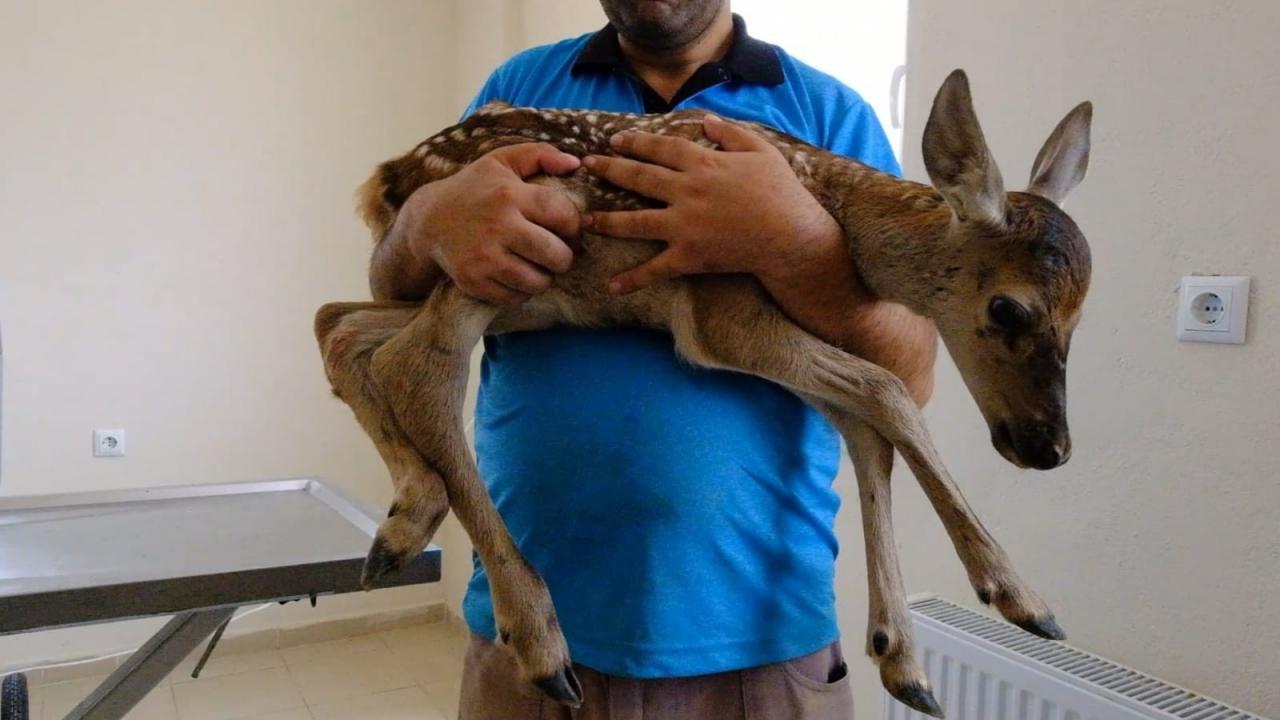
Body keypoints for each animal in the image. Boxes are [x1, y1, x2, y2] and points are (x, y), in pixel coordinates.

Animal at [314, 69, 1092, 718]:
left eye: (1082, 315)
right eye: (1007, 309)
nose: (1048, 447)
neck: (836, 211)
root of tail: (388, 178)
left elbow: (868, 427)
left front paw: (902, 660)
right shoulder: (722, 314)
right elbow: (890, 390)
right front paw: (1023, 600)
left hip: (525, 296)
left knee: (341, 325)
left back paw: (403, 524)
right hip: (515, 228)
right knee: (414, 364)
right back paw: (540, 640)